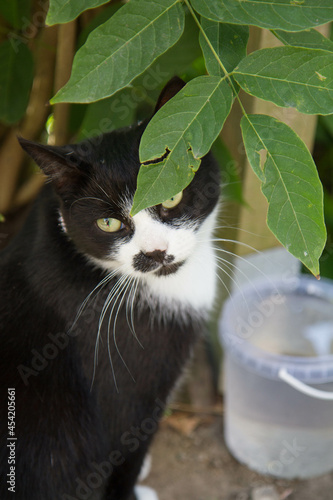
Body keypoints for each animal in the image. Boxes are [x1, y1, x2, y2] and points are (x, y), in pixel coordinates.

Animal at [0, 77, 220, 500]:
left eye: (171, 195)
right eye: (108, 223)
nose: (156, 252)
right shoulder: (126, 393)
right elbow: (124, 456)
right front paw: (135, 491)